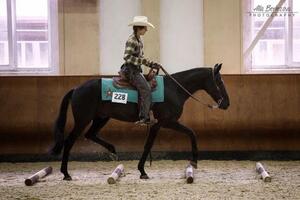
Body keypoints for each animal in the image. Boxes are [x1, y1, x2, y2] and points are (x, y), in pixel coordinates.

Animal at [51, 63, 230, 180]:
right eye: (220, 81)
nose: (227, 104)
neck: (174, 89)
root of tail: (76, 89)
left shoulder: (161, 124)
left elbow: (152, 144)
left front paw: (142, 170)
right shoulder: (164, 122)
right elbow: (187, 134)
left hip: (101, 118)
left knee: (90, 135)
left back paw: (113, 150)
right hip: (83, 120)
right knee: (69, 141)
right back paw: (66, 174)